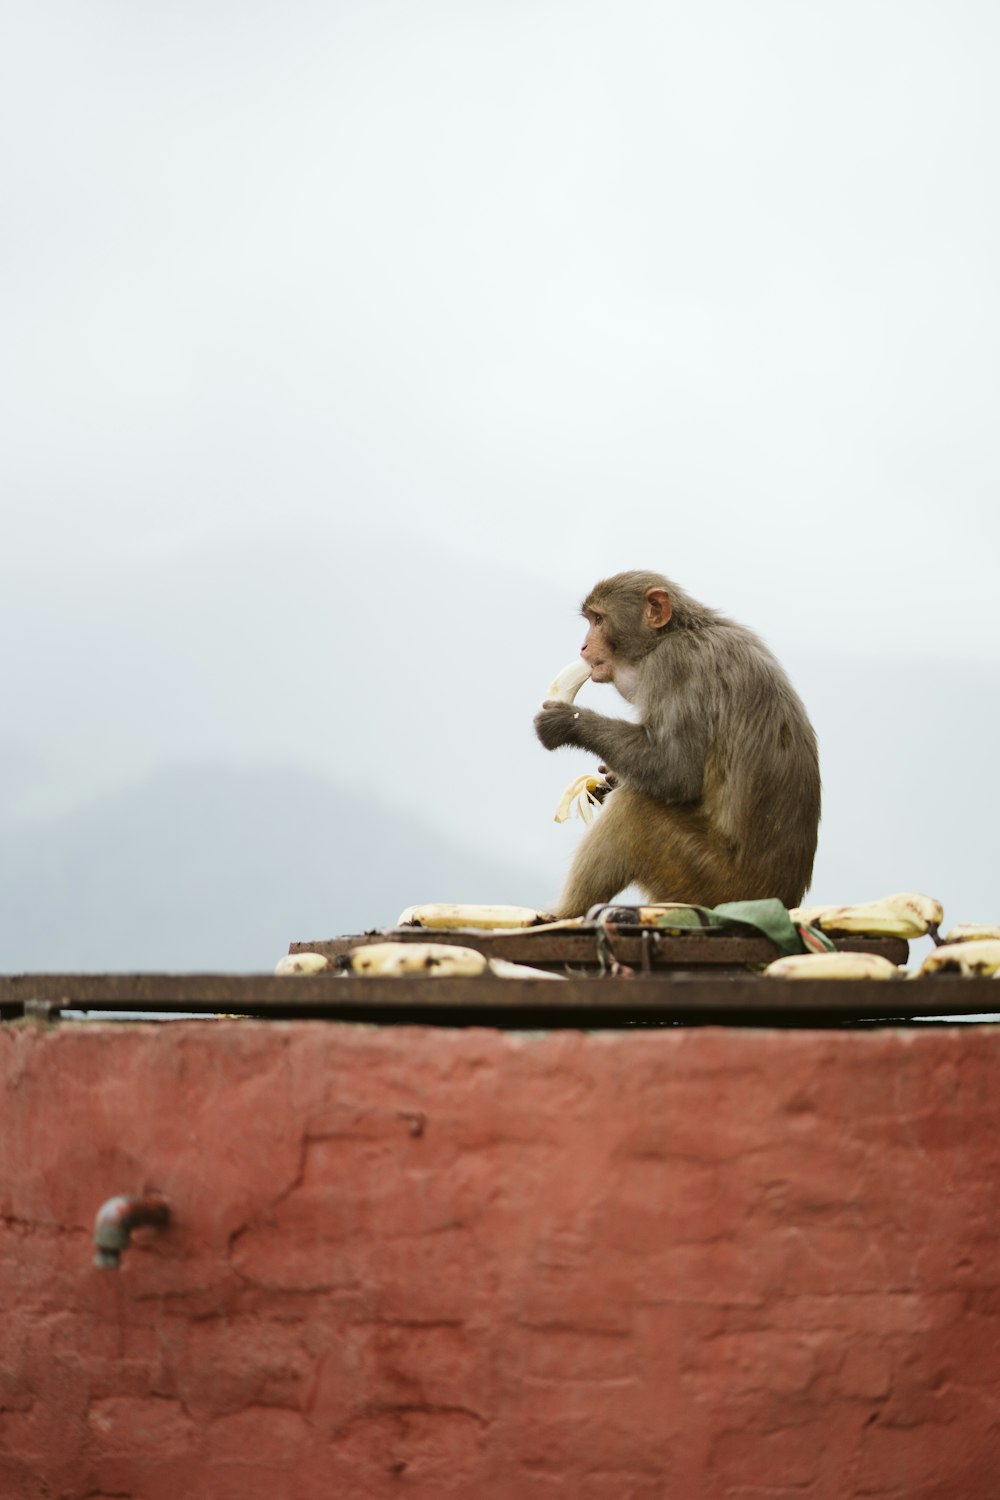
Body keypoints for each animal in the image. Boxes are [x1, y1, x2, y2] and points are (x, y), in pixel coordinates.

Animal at [536, 573, 815, 918]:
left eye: (598, 620)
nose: (584, 646)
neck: (678, 632)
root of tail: (784, 900)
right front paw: (606, 782)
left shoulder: (672, 664)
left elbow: (676, 772)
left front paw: (567, 723)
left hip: (711, 884)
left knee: (634, 809)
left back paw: (564, 913)